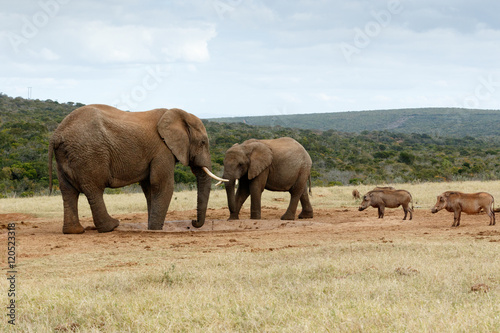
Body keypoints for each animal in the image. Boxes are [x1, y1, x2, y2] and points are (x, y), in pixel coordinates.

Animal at [47, 104, 226, 233]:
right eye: (203, 142)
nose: (193, 222)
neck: (177, 115)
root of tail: (57, 134)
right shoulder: (162, 150)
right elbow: (162, 185)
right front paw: (156, 229)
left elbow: (149, 187)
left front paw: (151, 228)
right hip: (89, 154)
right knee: (94, 189)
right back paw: (112, 226)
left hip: (65, 158)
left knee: (68, 191)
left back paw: (74, 231)